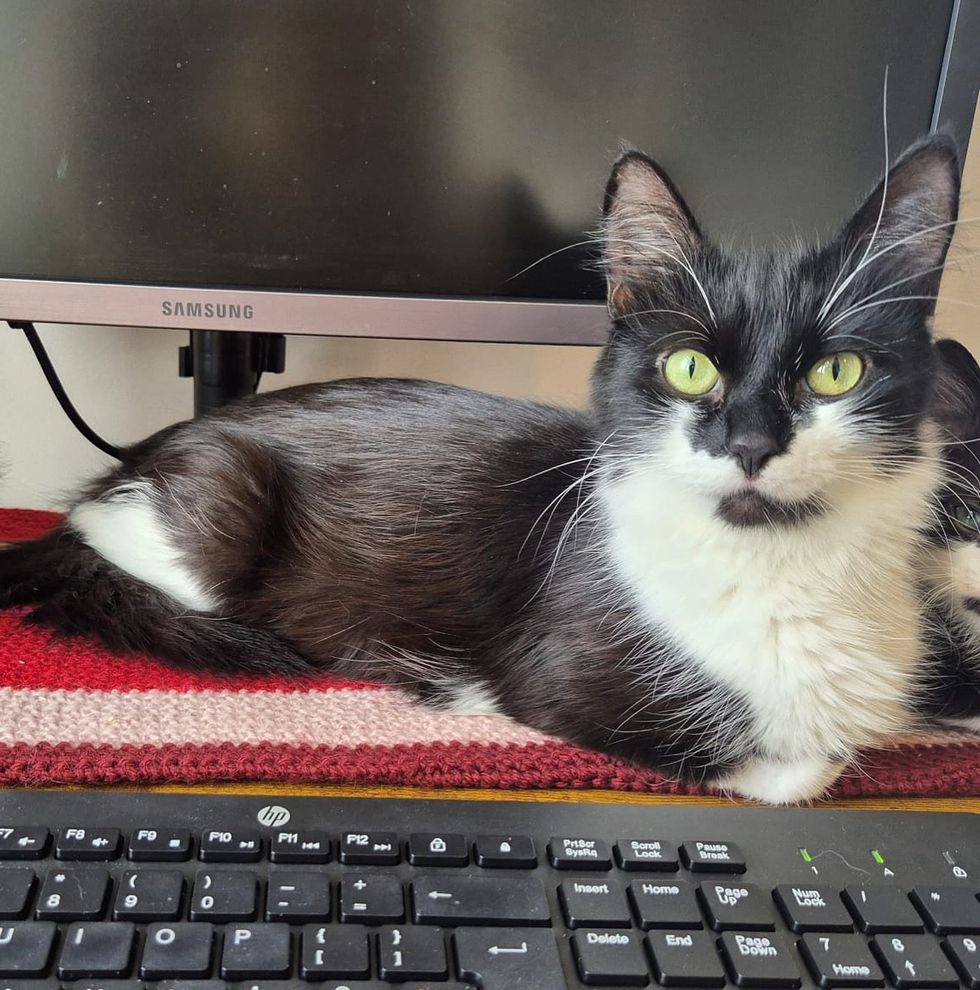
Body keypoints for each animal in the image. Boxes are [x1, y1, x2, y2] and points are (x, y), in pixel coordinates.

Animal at [0, 136, 964, 804]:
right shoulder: (560, 679)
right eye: (691, 368)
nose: (752, 442)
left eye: (836, 371)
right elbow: (797, 764)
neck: (784, 570)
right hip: (216, 520)